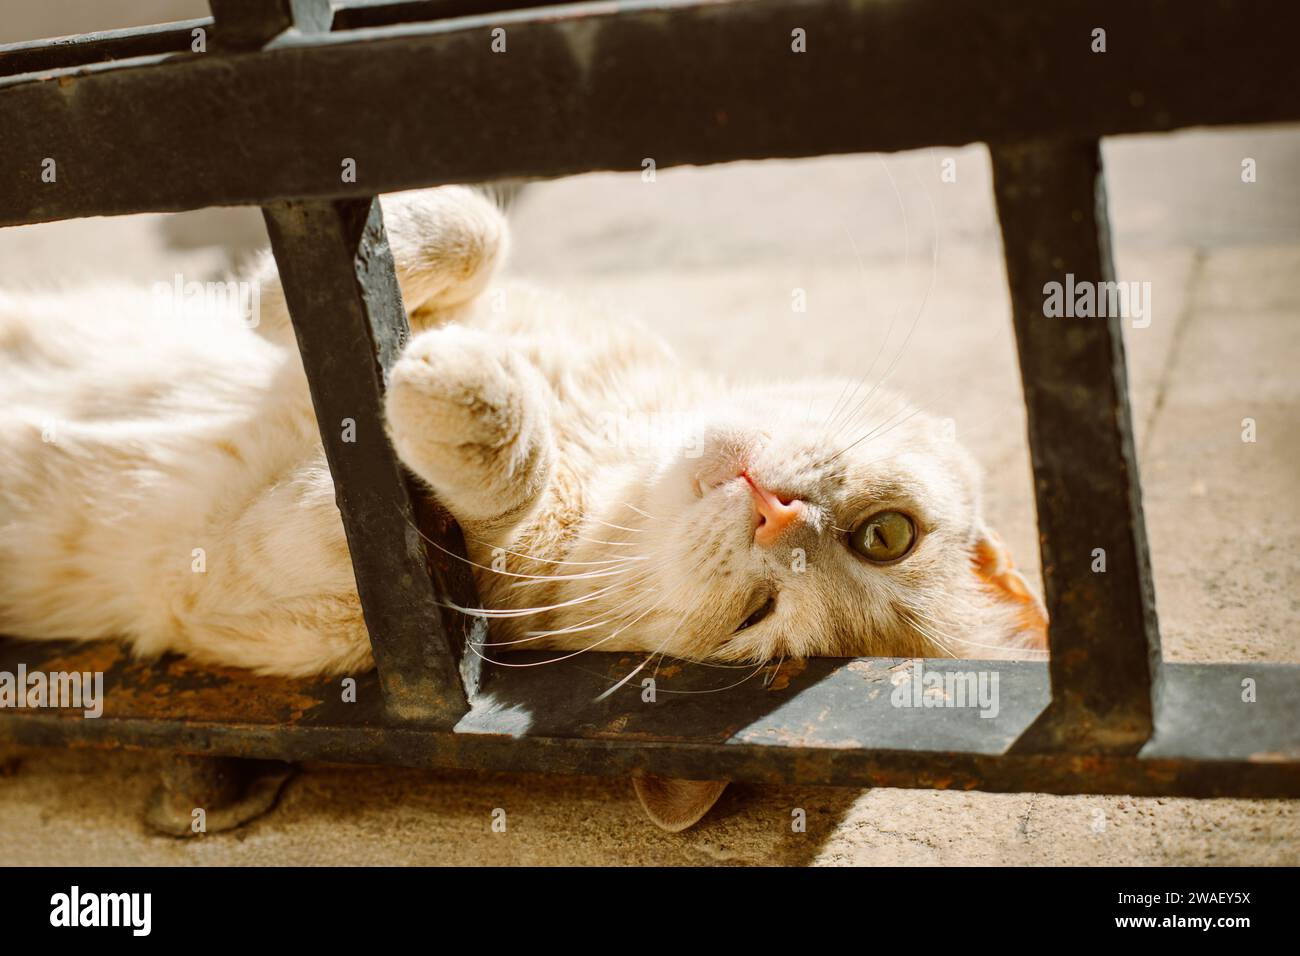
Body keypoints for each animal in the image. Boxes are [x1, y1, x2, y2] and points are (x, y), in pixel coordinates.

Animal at [0, 184, 1040, 832]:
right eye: (887, 535)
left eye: (758, 619)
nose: (778, 516)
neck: (603, 451)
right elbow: (469, 232)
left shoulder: (238, 601)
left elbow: (384, 538)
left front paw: (465, 421)